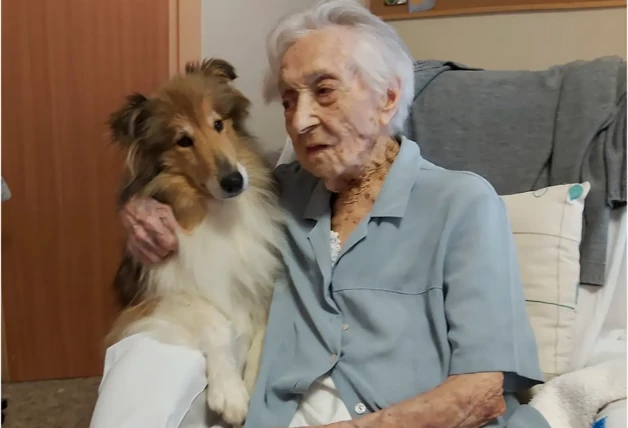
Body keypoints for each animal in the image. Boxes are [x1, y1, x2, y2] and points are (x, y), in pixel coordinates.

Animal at [105, 59, 284, 424]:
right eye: (183, 140)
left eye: (218, 124)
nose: (234, 181)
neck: (216, 214)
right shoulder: (155, 297)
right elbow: (212, 319)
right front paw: (230, 394)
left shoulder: (261, 286)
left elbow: (263, 338)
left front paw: (253, 386)